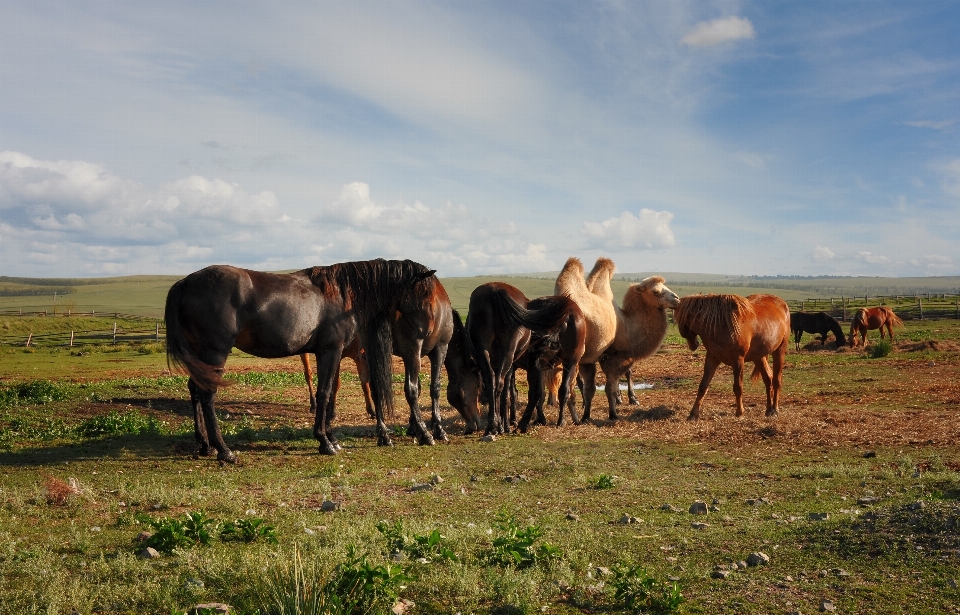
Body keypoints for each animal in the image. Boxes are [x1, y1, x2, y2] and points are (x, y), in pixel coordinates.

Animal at [164, 258, 436, 460]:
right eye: (424, 293)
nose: (428, 331)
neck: (342, 294)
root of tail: (185, 282)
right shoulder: (331, 350)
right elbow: (324, 392)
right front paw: (325, 441)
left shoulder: (329, 353)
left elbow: (328, 391)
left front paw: (331, 437)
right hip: (215, 353)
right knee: (207, 395)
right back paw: (223, 450)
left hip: (201, 356)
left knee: (195, 390)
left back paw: (205, 445)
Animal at [466, 284, 572, 438]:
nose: (483, 400)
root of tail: (495, 290)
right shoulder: (512, 366)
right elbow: (509, 393)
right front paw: (506, 424)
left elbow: (508, 393)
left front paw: (505, 423)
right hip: (509, 353)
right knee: (501, 384)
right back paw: (498, 426)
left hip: (484, 350)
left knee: (492, 381)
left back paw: (493, 426)